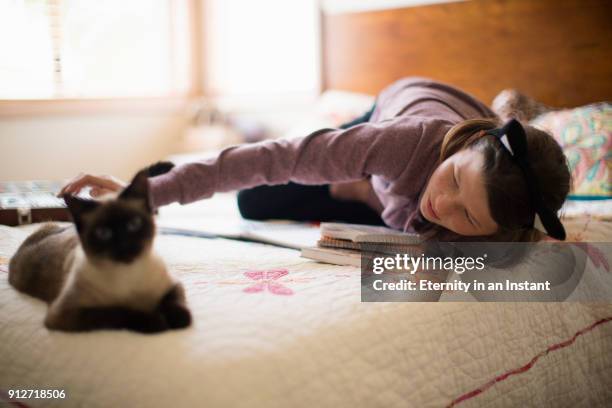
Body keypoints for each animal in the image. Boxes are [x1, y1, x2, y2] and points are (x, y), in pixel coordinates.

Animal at [8, 167, 190, 334]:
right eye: (103, 233)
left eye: (134, 224)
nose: (124, 246)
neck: (128, 274)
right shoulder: (66, 314)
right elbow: (118, 312)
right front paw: (156, 322)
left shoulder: (173, 284)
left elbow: (173, 301)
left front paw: (180, 320)